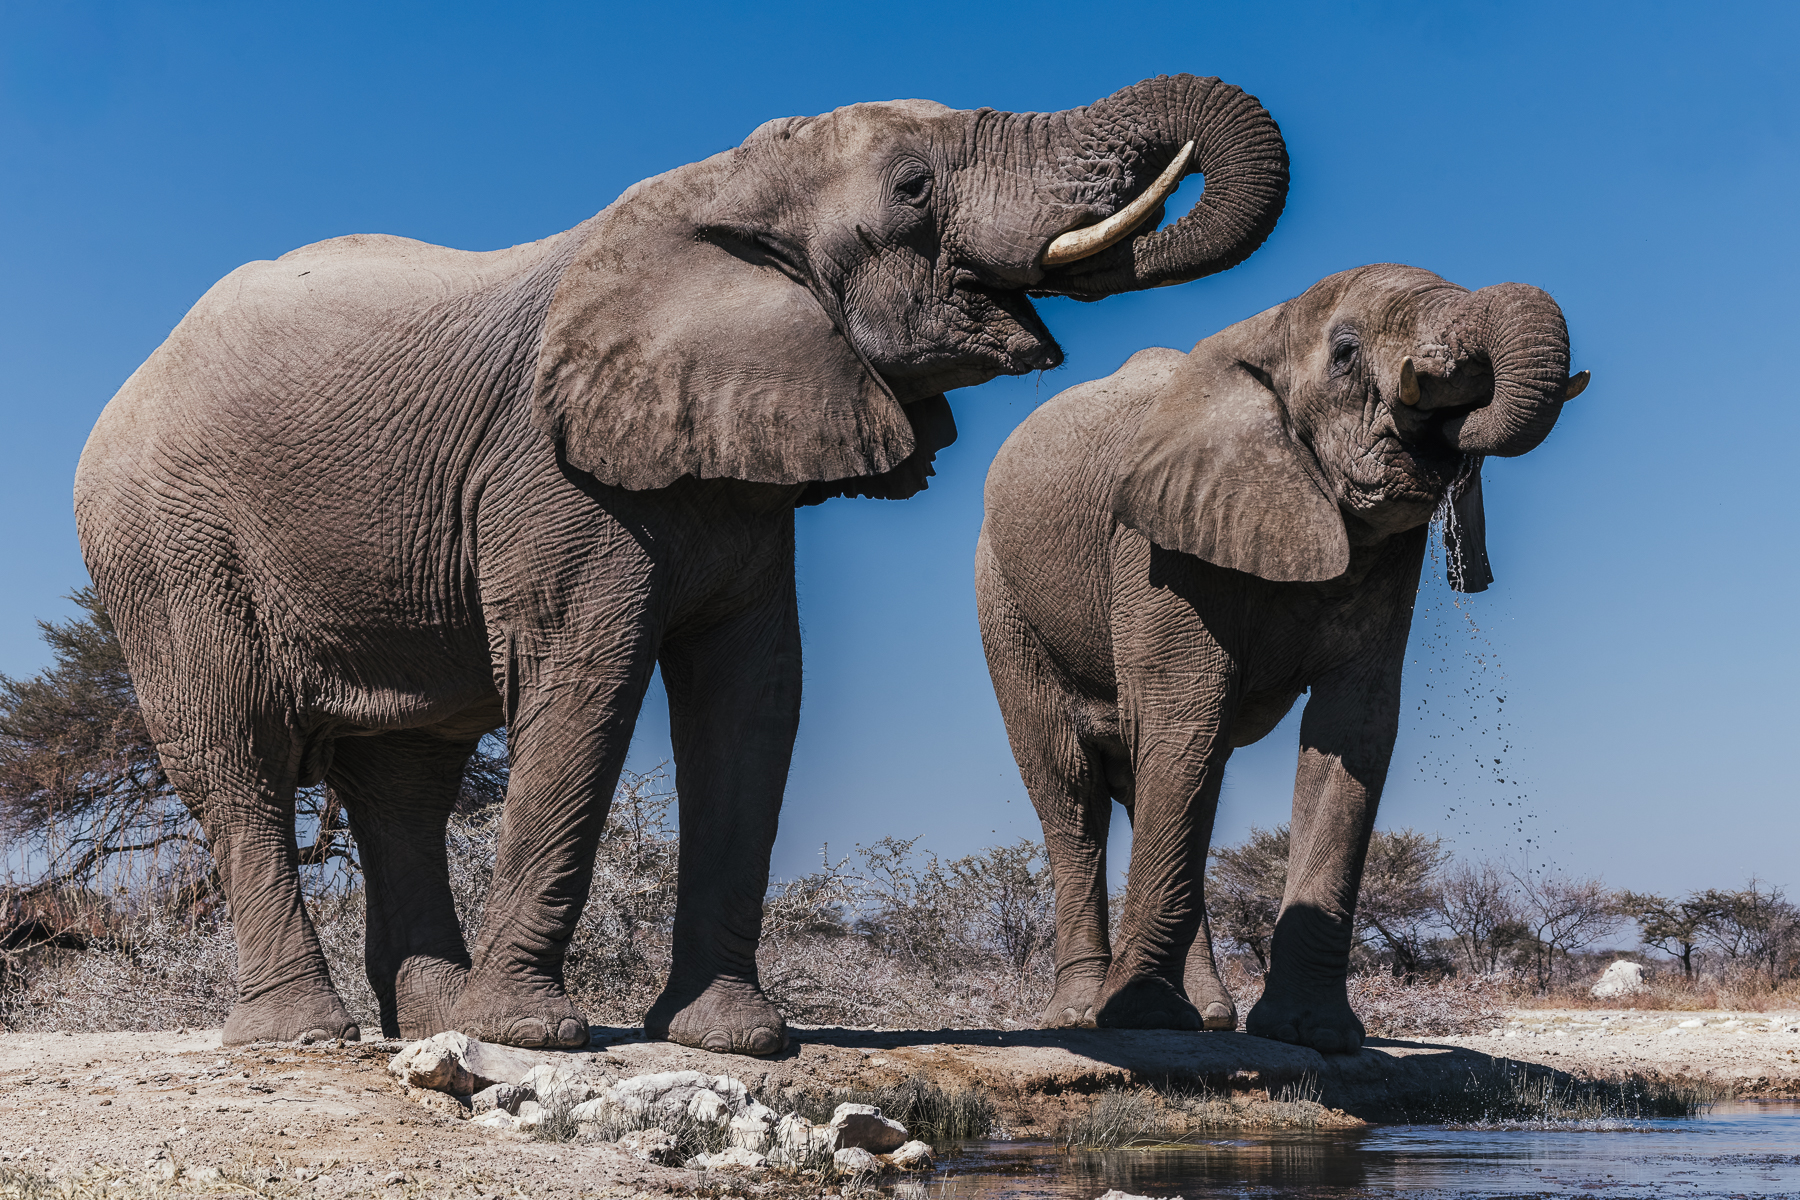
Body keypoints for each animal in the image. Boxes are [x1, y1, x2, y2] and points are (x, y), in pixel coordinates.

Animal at [74, 75, 1289, 1054]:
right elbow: (588, 677)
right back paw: (303, 1035)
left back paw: (429, 1017)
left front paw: (732, 1038)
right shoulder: (553, 470)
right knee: (234, 753)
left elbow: (754, 696)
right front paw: (533, 1034)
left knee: (405, 773)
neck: (728, 189)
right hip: (161, 542)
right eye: (911, 188)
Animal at [976, 263, 1586, 1052]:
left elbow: (1353, 730)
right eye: (1347, 353)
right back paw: (1086, 1015)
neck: (1272, 326)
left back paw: (1206, 1018)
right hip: (1003, 599)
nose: (1452, 414)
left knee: (1149, 780)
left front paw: (1311, 1034)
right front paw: (1140, 1018)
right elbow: (1187, 716)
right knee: (1071, 785)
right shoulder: (1156, 538)